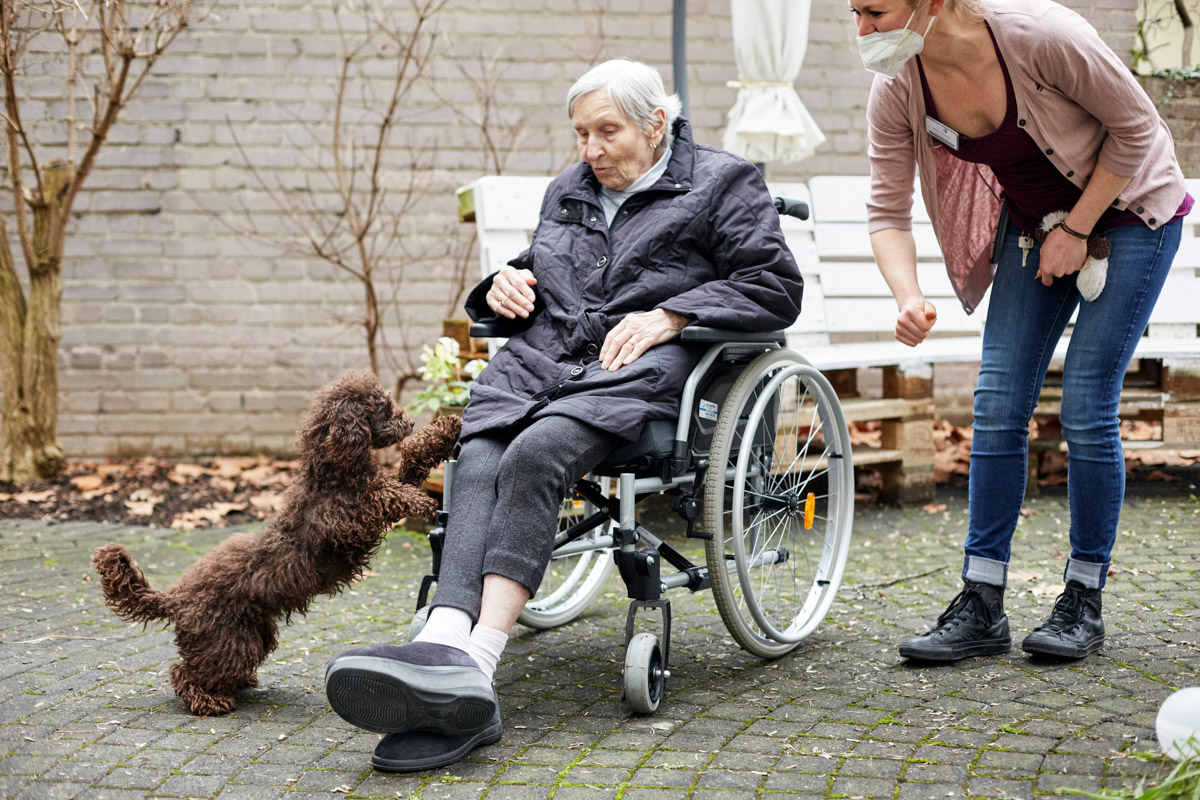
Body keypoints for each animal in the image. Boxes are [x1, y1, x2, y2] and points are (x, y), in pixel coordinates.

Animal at [91, 371, 458, 714]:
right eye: (382, 406)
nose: (410, 421)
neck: (333, 473)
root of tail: (174, 600)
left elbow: (410, 463)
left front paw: (446, 429)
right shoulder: (345, 522)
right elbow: (385, 494)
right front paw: (420, 501)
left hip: (254, 633)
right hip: (227, 641)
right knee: (183, 673)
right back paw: (210, 700)